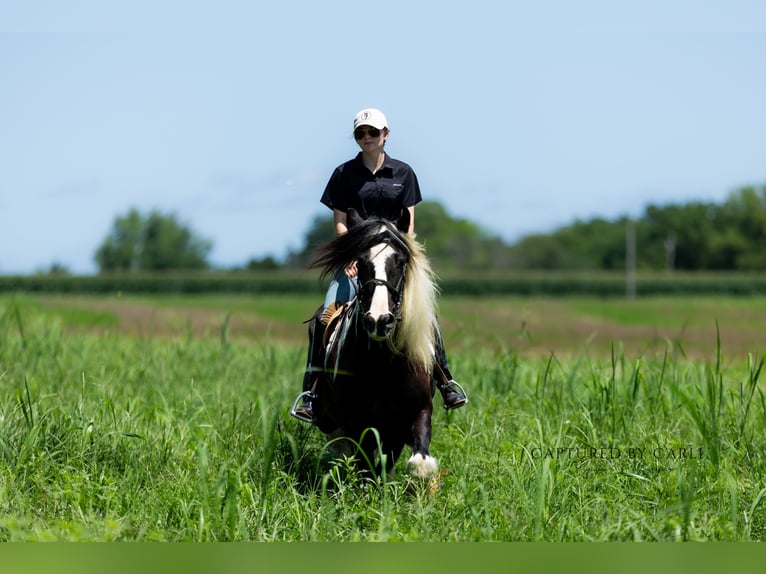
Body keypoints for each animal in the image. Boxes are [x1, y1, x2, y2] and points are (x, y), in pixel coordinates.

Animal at [304, 208, 440, 480]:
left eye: (400, 261)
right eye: (361, 261)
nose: (379, 320)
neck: (382, 363)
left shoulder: (416, 412)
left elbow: (415, 460)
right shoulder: (358, 421)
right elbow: (365, 463)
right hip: (328, 417)